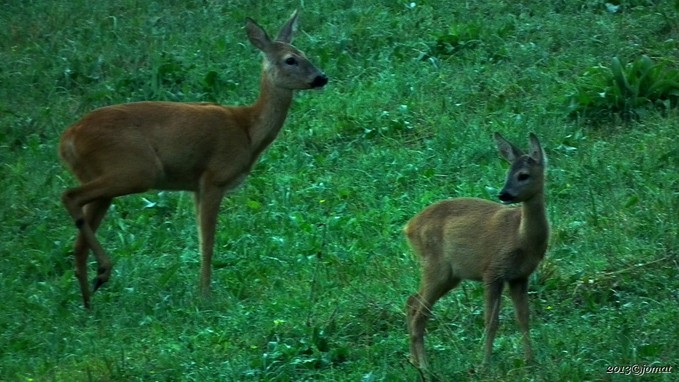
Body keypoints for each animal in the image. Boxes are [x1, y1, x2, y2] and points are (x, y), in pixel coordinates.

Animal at [58, 10, 330, 308]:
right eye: (290, 59)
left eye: (305, 53)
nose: (321, 77)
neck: (248, 130)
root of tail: (68, 138)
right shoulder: (214, 177)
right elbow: (208, 243)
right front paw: (206, 295)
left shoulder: (195, 187)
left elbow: (201, 240)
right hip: (136, 169)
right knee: (69, 196)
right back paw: (103, 272)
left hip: (103, 177)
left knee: (78, 240)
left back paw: (89, 300)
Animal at [406, 133, 548, 372]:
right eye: (508, 172)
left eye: (523, 175)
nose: (504, 194)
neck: (520, 236)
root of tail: (408, 227)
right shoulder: (492, 271)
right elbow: (491, 321)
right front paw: (485, 364)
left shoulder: (520, 276)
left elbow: (523, 317)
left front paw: (531, 361)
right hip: (435, 266)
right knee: (420, 312)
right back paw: (426, 367)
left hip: (449, 275)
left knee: (411, 301)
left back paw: (415, 362)